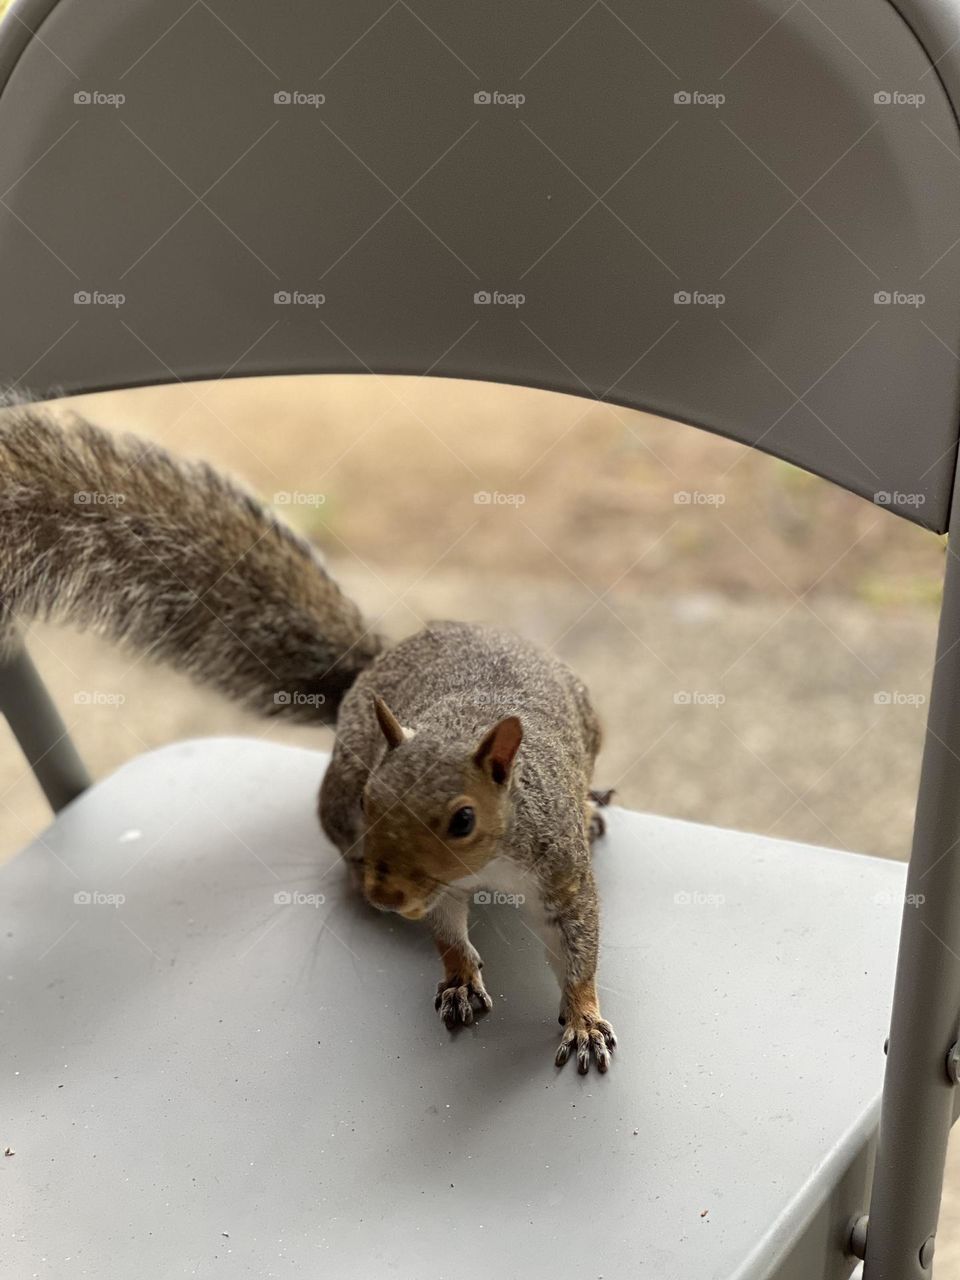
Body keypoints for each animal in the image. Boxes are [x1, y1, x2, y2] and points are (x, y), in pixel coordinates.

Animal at [1, 396, 617, 1073]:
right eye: (373, 799)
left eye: (463, 820)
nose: (385, 894)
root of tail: (378, 661)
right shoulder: (438, 889)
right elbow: (448, 933)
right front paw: (459, 978)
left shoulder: (559, 872)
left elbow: (579, 948)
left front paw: (583, 1019)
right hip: (333, 801)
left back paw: (591, 805)